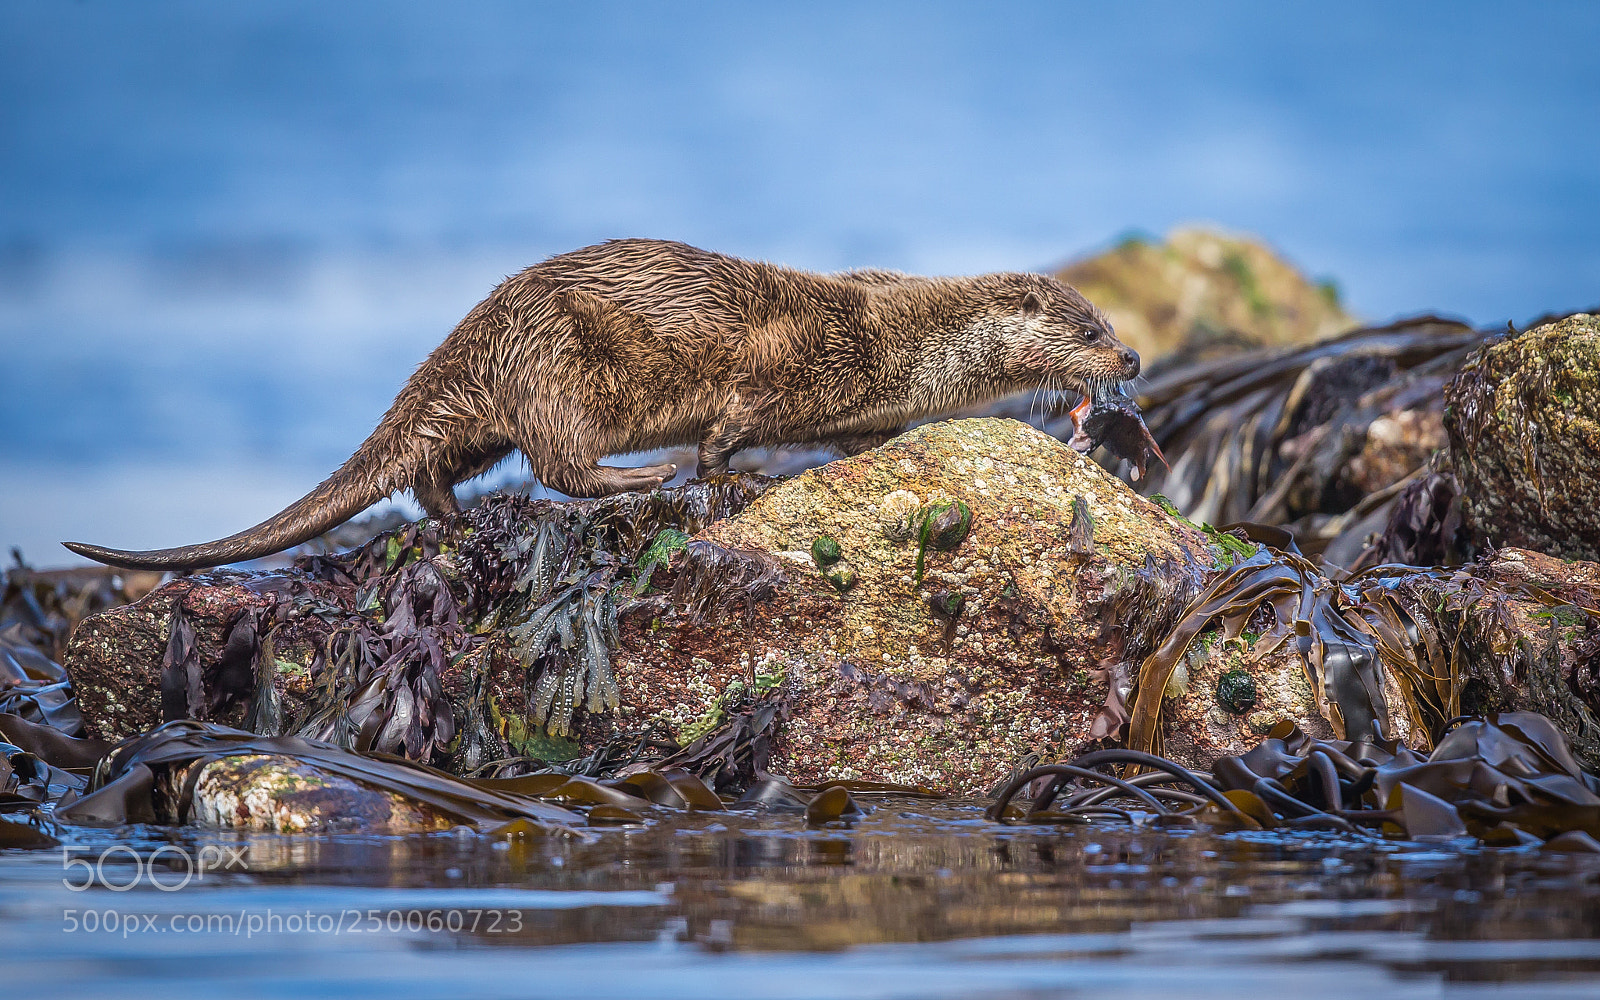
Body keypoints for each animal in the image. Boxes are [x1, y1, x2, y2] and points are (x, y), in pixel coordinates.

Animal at [65, 239, 1139, 570]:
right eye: (1089, 327)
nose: (1129, 354)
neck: (902, 340)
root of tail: (477, 331)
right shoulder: (782, 365)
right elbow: (728, 434)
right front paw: (724, 475)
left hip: (486, 409)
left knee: (431, 471)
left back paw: (463, 519)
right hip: (556, 372)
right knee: (562, 467)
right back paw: (641, 475)